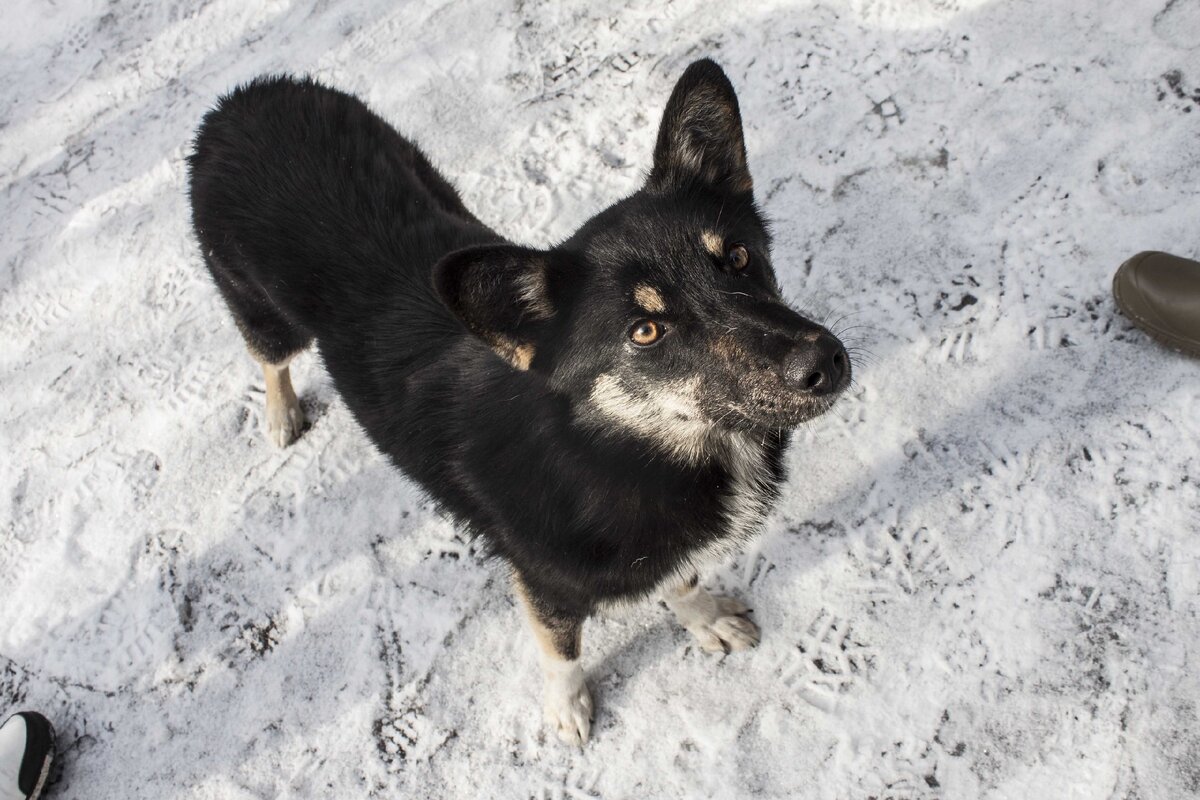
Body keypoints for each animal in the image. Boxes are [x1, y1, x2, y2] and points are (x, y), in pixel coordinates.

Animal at [187, 59, 849, 748]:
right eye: (645, 331)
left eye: (739, 258)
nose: (825, 364)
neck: (612, 445)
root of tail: (241, 99)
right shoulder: (544, 582)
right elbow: (560, 650)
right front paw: (568, 706)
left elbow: (681, 579)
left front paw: (702, 616)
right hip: (259, 308)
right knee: (269, 358)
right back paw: (280, 412)